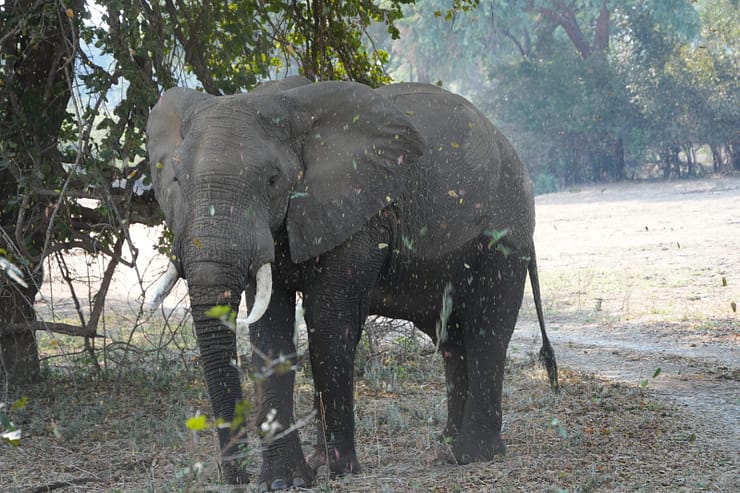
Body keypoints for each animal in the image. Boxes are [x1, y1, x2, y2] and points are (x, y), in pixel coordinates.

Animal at [145, 76, 558, 490]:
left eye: (273, 180)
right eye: (177, 180)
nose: (237, 477)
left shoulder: (360, 214)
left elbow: (329, 324)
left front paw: (339, 469)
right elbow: (270, 334)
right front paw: (285, 480)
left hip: (504, 235)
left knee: (487, 330)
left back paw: (472, 454)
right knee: (450, 338)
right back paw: (445, 447)